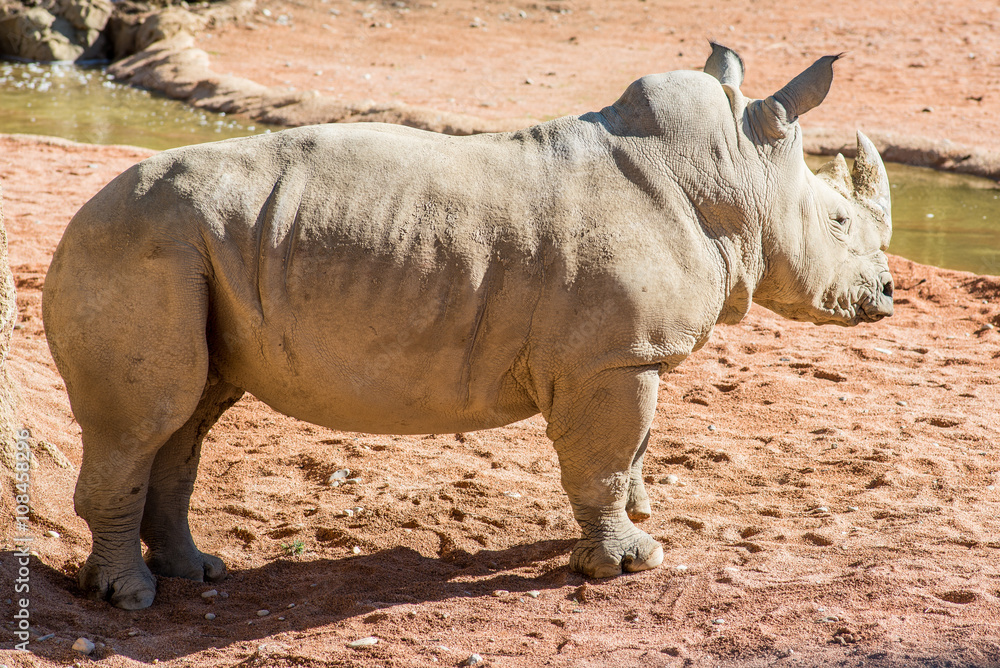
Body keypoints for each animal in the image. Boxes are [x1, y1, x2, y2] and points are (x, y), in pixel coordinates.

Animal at [42, 44, 893, 610]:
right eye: (839, 220)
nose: (886, 294)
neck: (736, 172)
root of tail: (72, 222)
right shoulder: (610, 359)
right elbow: (606, 458)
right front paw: (628, 565)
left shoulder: (628, 355)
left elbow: (633, 449)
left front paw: (637, 523)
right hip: (136, 247)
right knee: (145, 421)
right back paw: (130, 598)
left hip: (188, 249)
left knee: (187, 418)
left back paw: (196, 572)